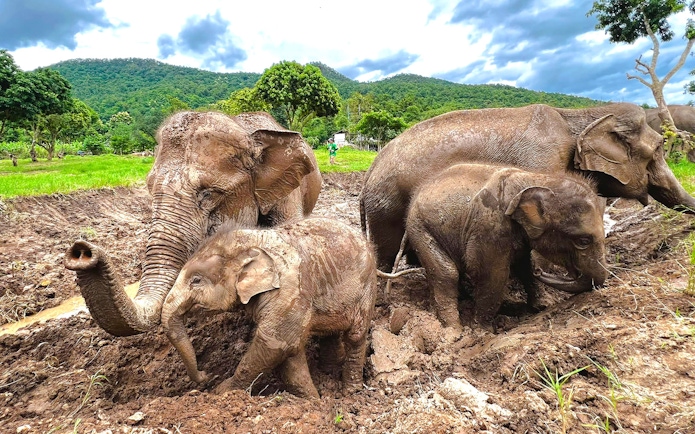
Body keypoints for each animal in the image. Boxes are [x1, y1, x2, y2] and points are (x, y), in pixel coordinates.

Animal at [160, 218, 378, 398]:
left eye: (196, 280)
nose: (206, 374)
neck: (252, 240)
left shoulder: (290, 291)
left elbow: (276, 343)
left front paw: (221, 392)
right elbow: (290, 352)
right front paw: (311, 399)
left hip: (366, 287)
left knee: (356, 336)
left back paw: (350, 391)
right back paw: (328, 371)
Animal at [360, 103, 695, 269]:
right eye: (658, 150)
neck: (576, 117)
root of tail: (371, 168)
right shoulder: (543, 162)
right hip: (386, 205)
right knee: (387, 250)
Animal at [405, 163, 608, 331]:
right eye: (583, 241)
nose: (540, 271)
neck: (537, 179)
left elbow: (523, 265)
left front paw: (543, 306)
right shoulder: (490, 228)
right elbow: (493, 273)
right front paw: (482, 331)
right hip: (419, 228)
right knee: (446, 273)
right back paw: (453, 331)